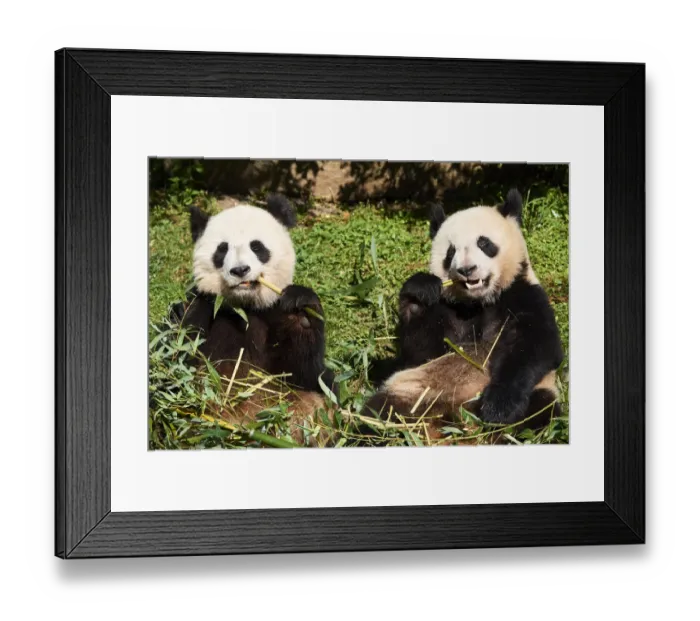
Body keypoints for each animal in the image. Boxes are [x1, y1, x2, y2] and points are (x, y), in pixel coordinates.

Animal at [172, 194, 335, 444]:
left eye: (257, 247)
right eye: (222, 250)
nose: (240, 270)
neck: (244, 308)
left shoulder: (272, 311)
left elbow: (306, 373)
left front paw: (301, 312)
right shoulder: (204, 308)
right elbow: (180, 361)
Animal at [365, 189, 564, 439]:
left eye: (484, 243)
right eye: (451, 252)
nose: (467, 270)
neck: (479, 302)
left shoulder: (524, 296)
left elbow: (536, 347)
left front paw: (498, 407)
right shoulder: (449, 309)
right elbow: (421, 353)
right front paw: (421, 291)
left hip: (538, 393)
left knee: (540, 412)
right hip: (414, 391)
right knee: (380, 412)